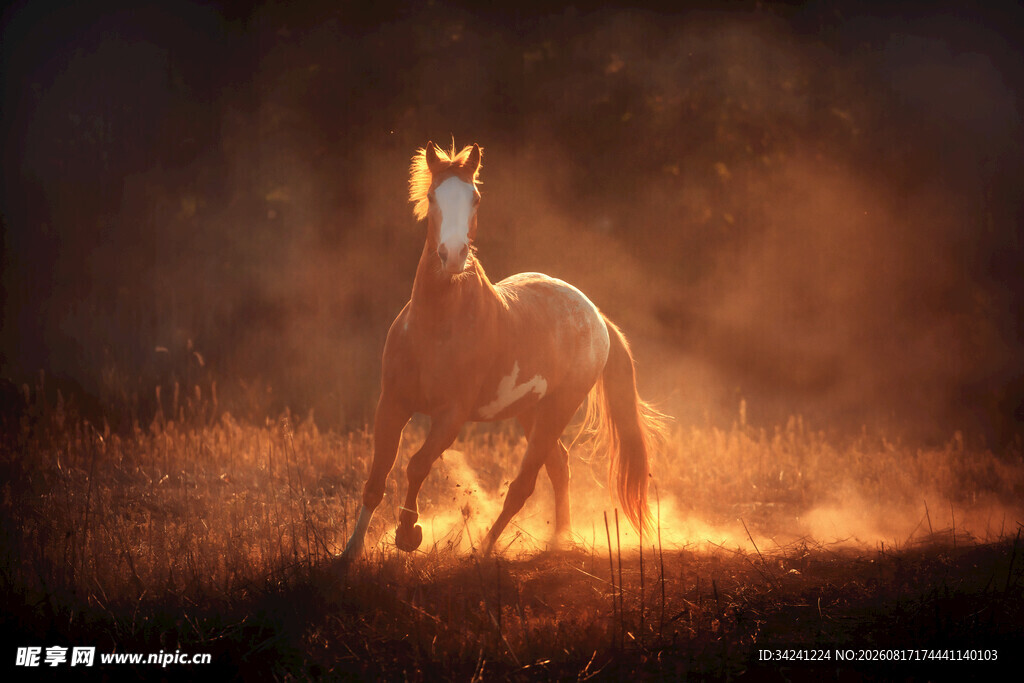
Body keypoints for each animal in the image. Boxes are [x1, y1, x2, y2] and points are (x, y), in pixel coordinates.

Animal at [341, 142, 666, 559]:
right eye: (431, 196)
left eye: (475, 198)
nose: (452, 255)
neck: (435, 326)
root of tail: (596, 315)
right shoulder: (392, 403)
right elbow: (376, 477)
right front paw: (348, 555)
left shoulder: (451, 415)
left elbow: (416, 465)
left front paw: (408, 534)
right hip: (530, 411)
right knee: (559, 467)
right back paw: (558, 541)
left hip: (560, 407)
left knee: (525, 484)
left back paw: (482, 550)